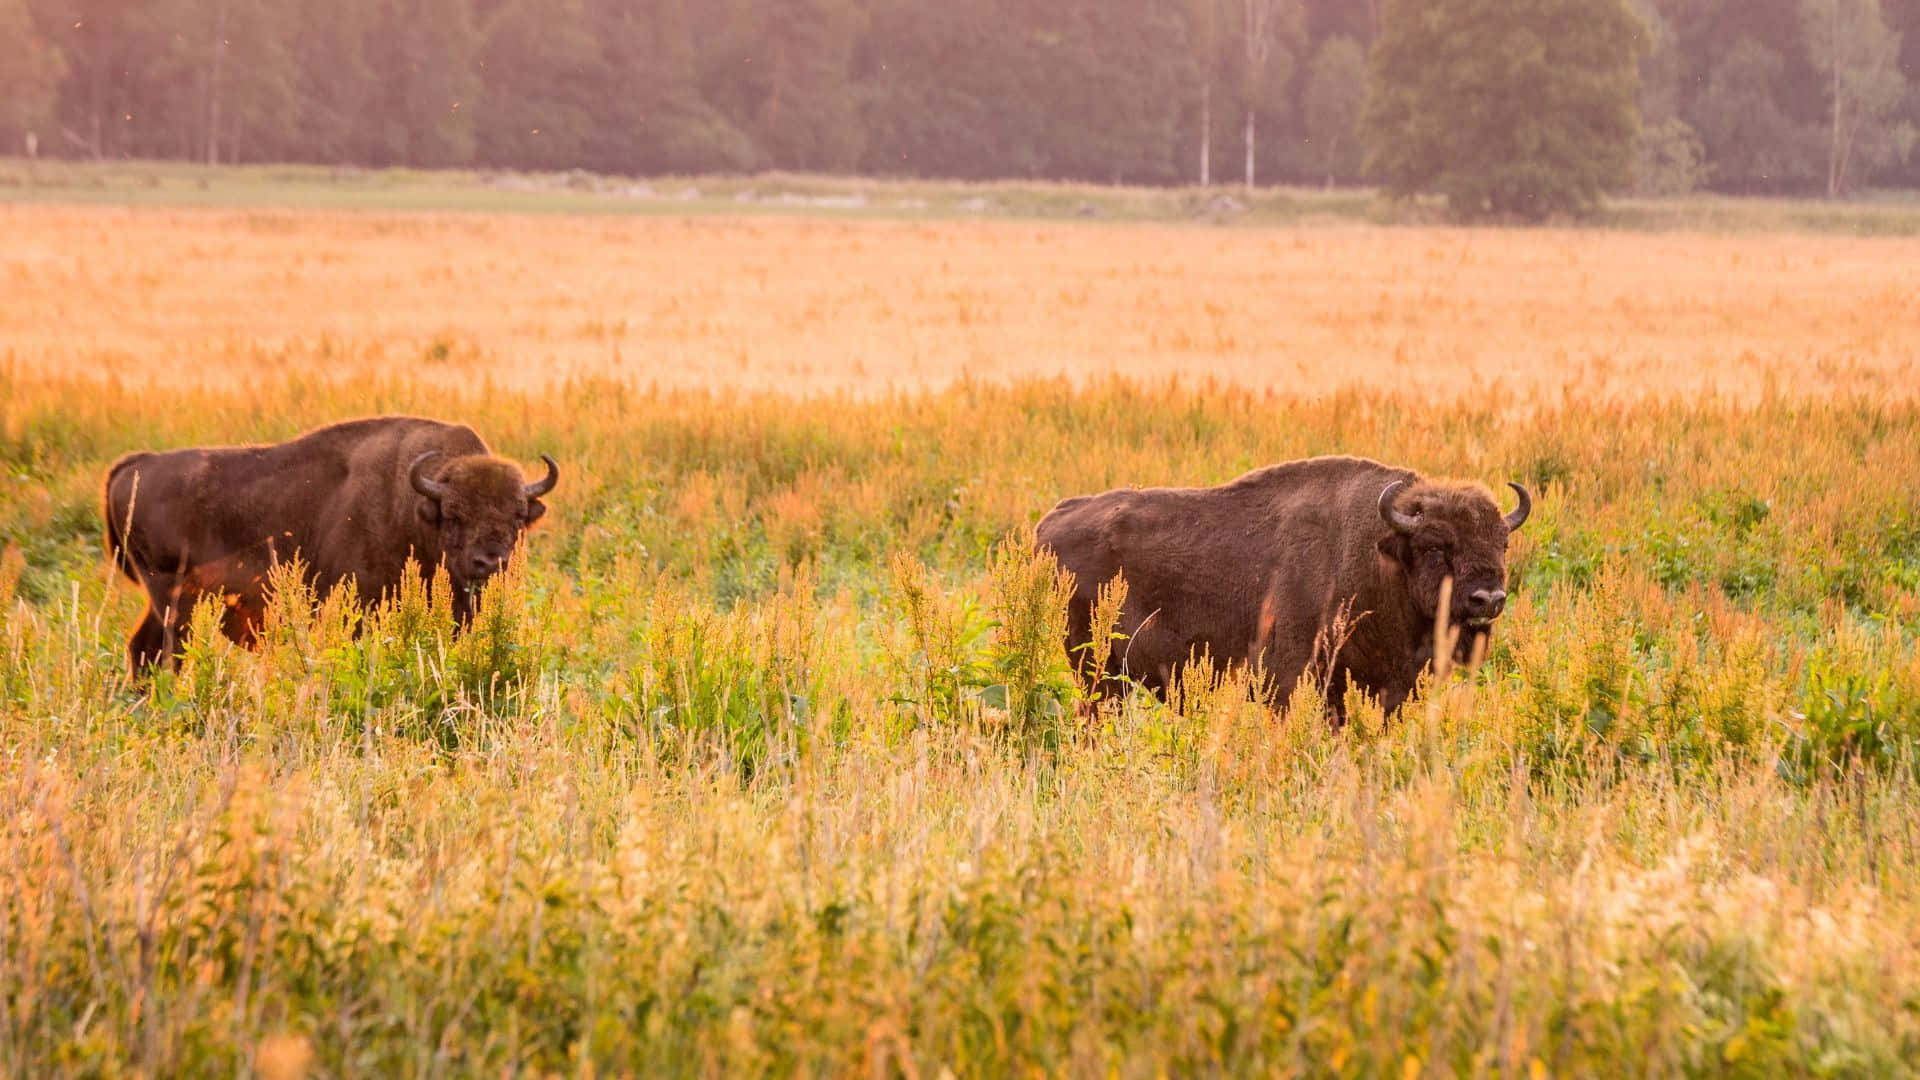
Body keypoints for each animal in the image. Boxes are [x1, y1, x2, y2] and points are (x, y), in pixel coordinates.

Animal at [103, 416, 558, 676]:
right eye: (455, 513)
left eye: (518, 516)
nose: (490, 562)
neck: (412, 505)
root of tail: (136, 465)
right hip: (173, 599)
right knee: (162, 653)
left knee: (142, 650)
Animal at [1036, 455, 1531, 716]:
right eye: (1434, 546)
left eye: (1502, 542)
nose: (1488, 599)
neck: (1376, 555)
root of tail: (1053, 519)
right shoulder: (1290, 681)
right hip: (1098, 672)